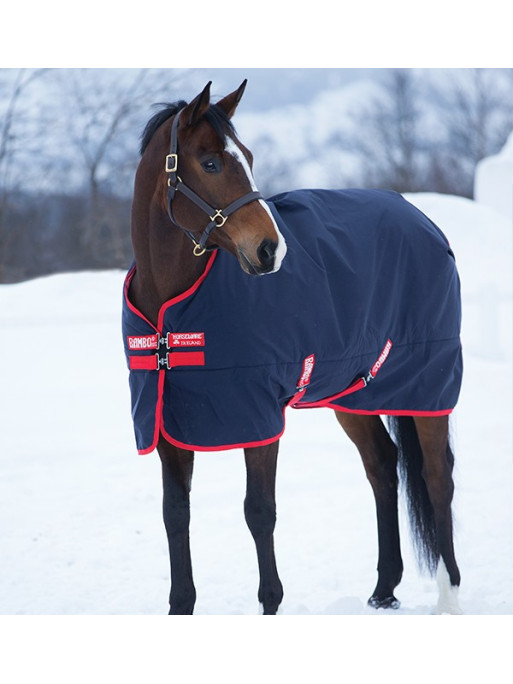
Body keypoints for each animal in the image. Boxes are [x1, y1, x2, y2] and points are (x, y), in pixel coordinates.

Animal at [123, 80, 463, 615]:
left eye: (248, 157)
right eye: (210, 163)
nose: (270, 250)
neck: (169, 312)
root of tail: (424, 220)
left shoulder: (260, 419)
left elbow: (259, 512)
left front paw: (271, 601)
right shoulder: (167, 425)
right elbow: (175, 515)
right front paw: (181, 604)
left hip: (427, 386)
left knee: (436, 477)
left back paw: (448, 597)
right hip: (354, 394)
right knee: (382, 467)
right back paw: (383, 591)